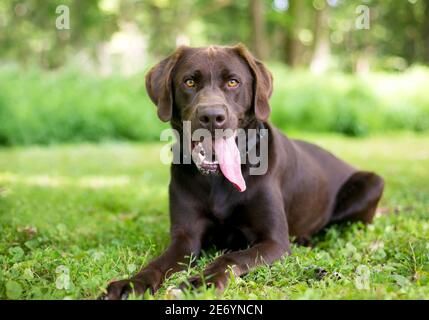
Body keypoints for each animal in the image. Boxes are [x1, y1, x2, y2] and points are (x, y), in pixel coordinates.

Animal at [103, 44, 382, 300]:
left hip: (373, 182)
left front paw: (202, 281)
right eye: (189, 82)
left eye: (233, 82)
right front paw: (131, 283)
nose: (212, 116)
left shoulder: (273, 242)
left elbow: (231, 258)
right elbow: (157, 264)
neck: (217, 179)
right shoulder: (184, 239)